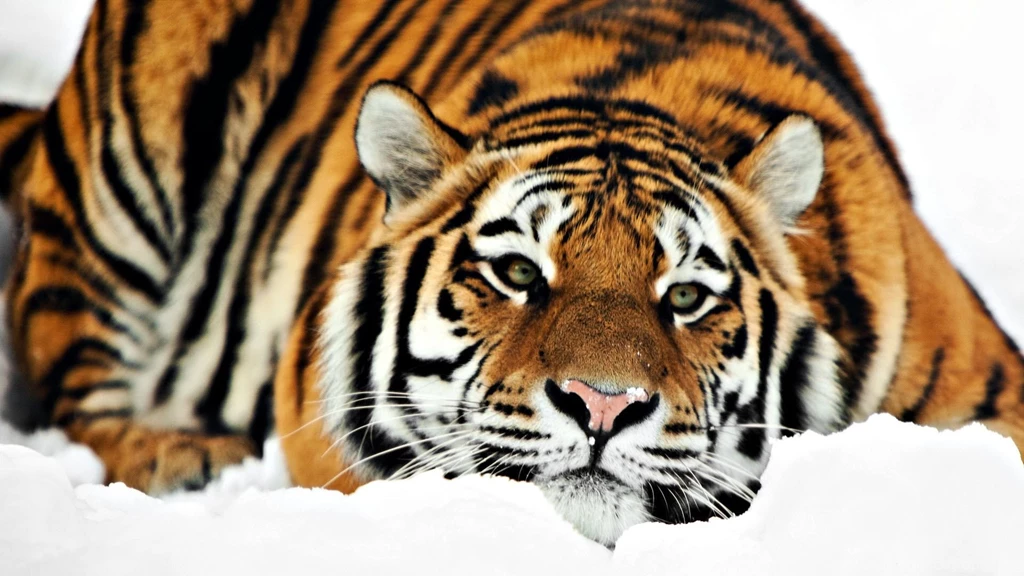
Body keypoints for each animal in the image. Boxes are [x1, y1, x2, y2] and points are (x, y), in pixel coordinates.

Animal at [1, 0, 1022, 545]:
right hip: (122, 176)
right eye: (519, 273)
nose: (603, 405)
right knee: (72, 375)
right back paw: (180, 455)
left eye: (687, 296)